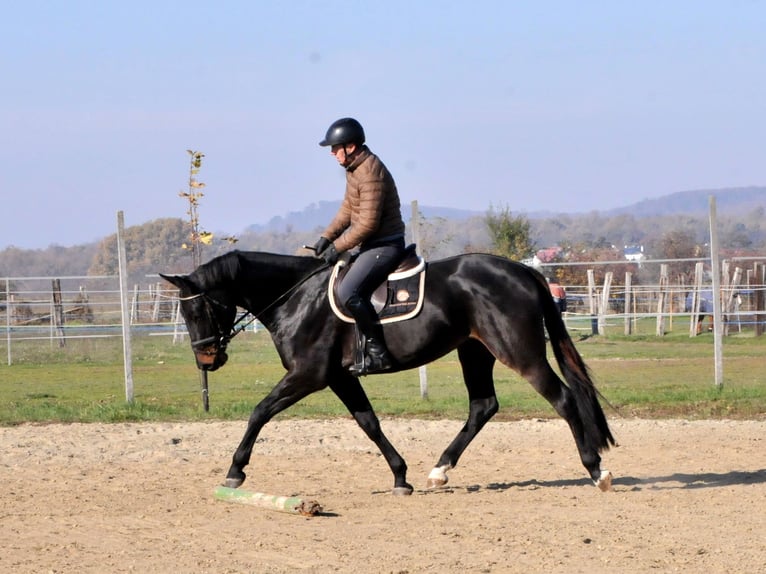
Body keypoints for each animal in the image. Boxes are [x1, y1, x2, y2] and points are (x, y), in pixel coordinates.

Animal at [162, 250, 616, 498]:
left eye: (198, 309)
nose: (206, 361)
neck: (297, 298)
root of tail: (523, 271)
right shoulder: (340, 378)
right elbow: (369, 423)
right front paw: (401, 476)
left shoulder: (308, 375)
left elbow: (259, 412)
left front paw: (235, 472)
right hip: (474, 352)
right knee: (483, 406)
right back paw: (439, 470)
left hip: (518, 352)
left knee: (563, 399)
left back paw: (596, 471)